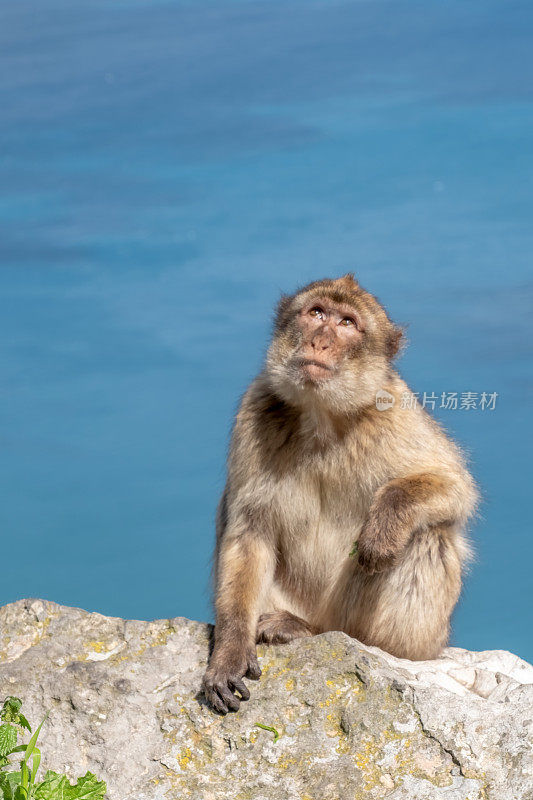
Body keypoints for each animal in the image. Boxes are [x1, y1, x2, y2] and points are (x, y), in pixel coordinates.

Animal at [202, 274, 476, 712]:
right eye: (316, 313)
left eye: (347, 323)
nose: (320, 341)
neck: (320, 416)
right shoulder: (254, 409)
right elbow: (249, 532)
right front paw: (229, 651)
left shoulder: (394, 409)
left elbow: (454, 485)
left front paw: (384, 526)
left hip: (396, 633)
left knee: (426, 537)